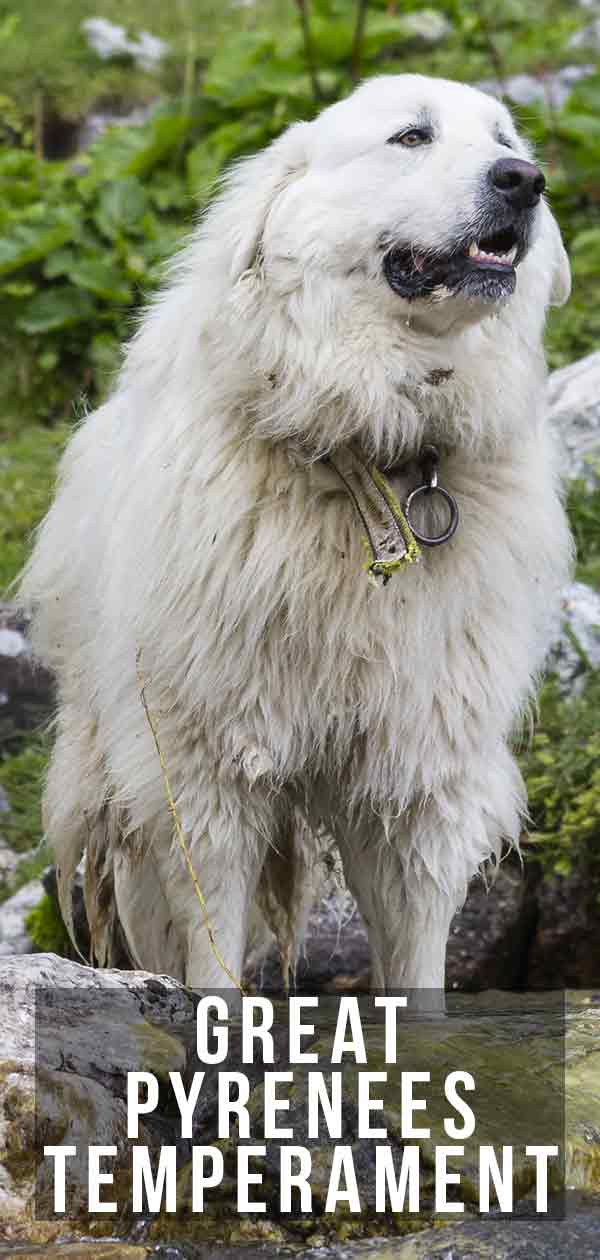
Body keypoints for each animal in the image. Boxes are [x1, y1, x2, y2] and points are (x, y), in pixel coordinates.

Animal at [19, 73, 572, 992]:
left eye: (503, 138)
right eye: (411, 137)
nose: (524, 179)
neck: (371, 454)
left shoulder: (422, 776)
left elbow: (419, 956)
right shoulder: (204, 768)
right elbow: (210, 943)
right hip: (119, 772)